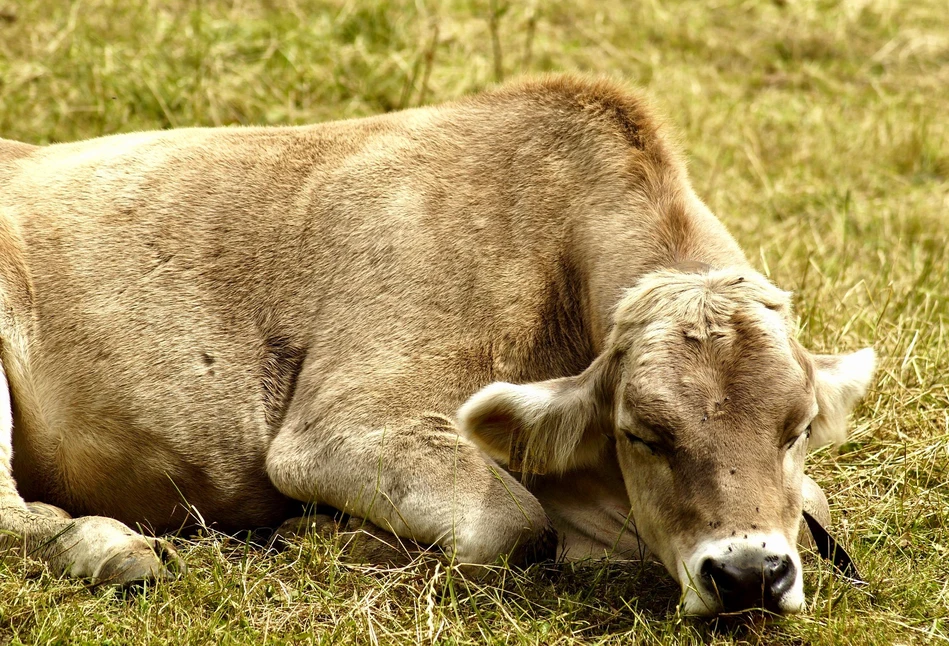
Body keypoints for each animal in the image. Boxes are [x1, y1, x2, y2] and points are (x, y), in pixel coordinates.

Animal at [0, 76, 872, 616]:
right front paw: (319, 537)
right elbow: (511, 524)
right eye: (642, 434)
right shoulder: (340, 428)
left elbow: (818, 508)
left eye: (796, 429)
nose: (748, 573)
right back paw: (115, 550)